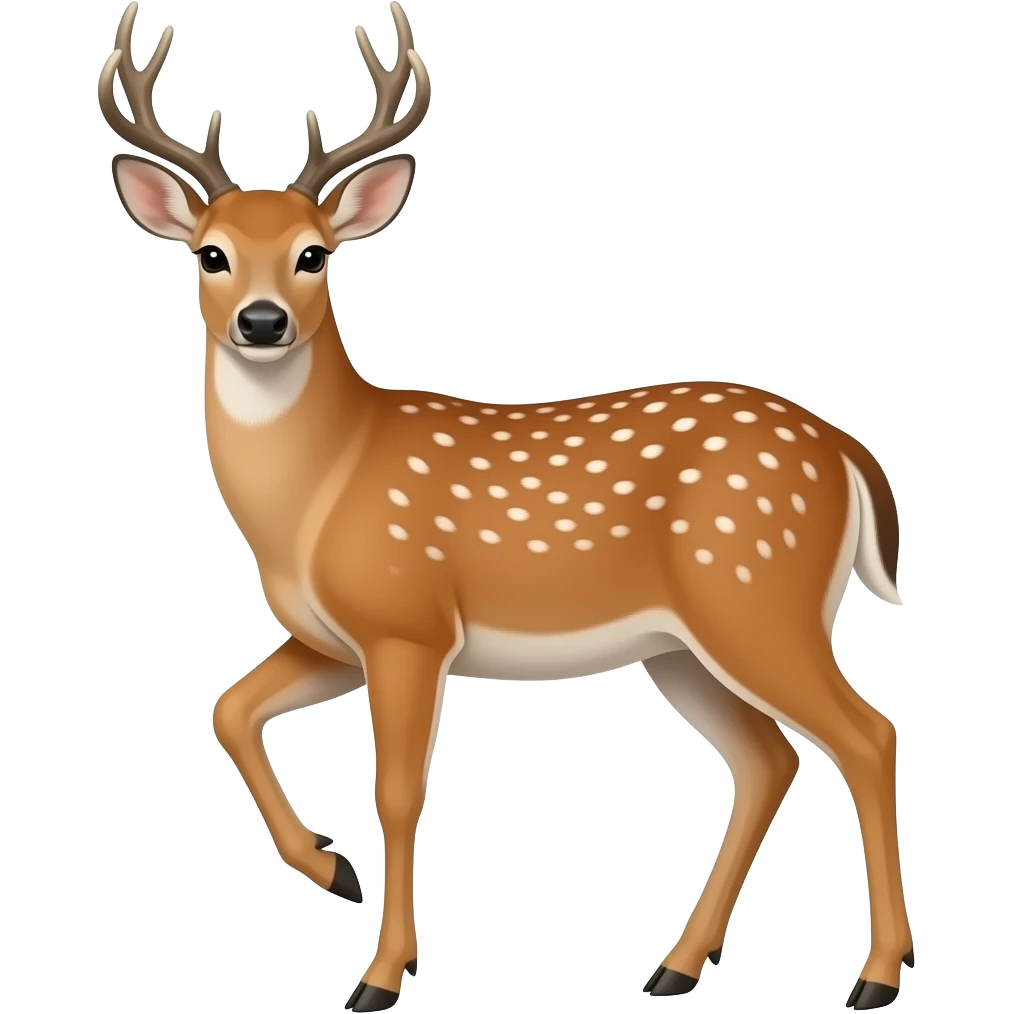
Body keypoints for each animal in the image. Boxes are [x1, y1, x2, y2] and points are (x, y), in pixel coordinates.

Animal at [99, 2, 914, 1010]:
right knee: (769, 760)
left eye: (312, 255)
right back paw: (677, 966)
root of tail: (847, 452)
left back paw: (875, 975)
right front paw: (332, 870)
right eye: (210, 254)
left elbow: (397, 791)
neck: (320, 489)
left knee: (867, 735)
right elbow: (228, 707)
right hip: (681, 644)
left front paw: (382, 973)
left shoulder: (408, 622)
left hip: (758, 594)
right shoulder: (334, 637)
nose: (261, 321)